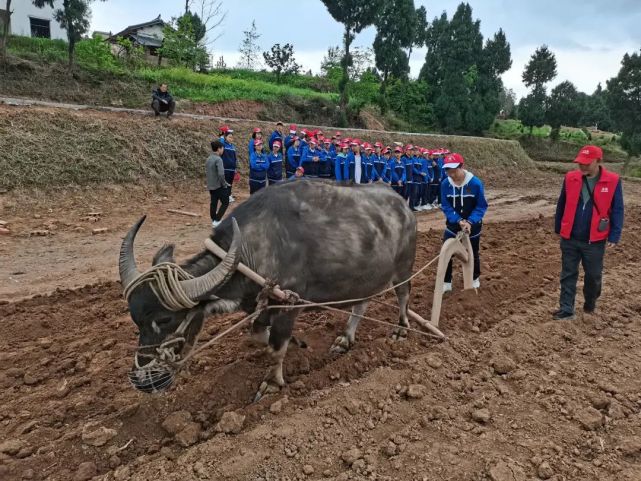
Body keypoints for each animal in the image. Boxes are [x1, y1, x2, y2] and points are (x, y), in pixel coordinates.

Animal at [121, 178, 416, 400]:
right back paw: (345, 338)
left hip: (403, 268)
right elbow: (259, 334)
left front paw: (272, 383)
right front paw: (297, 342)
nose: (141, 381)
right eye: (136, 322)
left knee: (403, 295)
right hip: (365, 276)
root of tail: (404, 205)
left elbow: (276, 347)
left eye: (164, 319)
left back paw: (400, 329)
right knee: (361, 303)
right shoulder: (261, 304)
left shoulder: (288, 305)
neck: (252, 249)